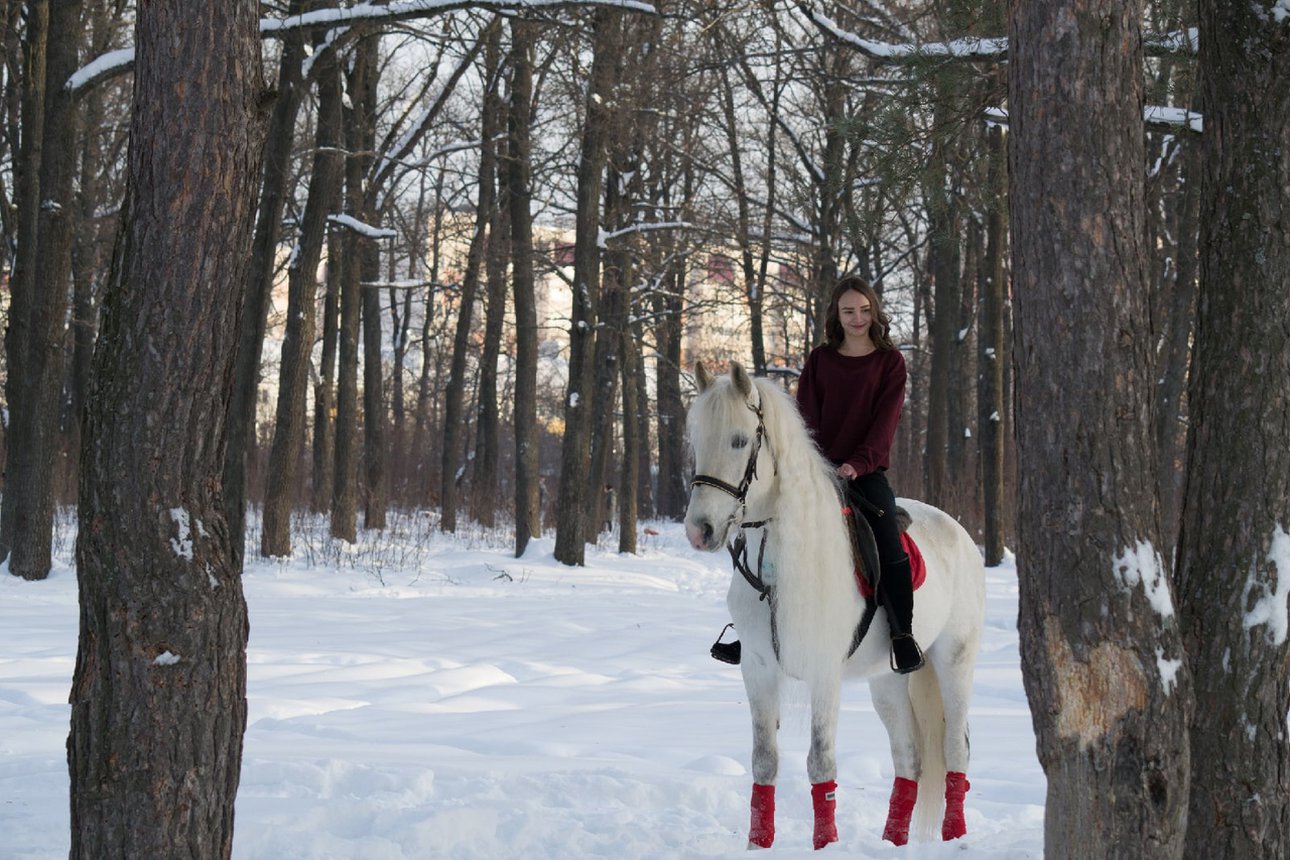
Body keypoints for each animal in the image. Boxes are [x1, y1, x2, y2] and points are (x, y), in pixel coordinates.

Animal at [686, 361, 985, 850]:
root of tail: (959, 532)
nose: (700, 530)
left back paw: (953, 839)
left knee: (954, 750)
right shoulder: (758, 669)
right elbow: (764, 760)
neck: (780, 565)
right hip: (888, 679)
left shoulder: (824, 673)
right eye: (696, 440)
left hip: (955, 660)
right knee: (910, 757)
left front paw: (825, 845)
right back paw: (892, 842)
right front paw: (757, 846)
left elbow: (820, 761)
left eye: (740, 440)